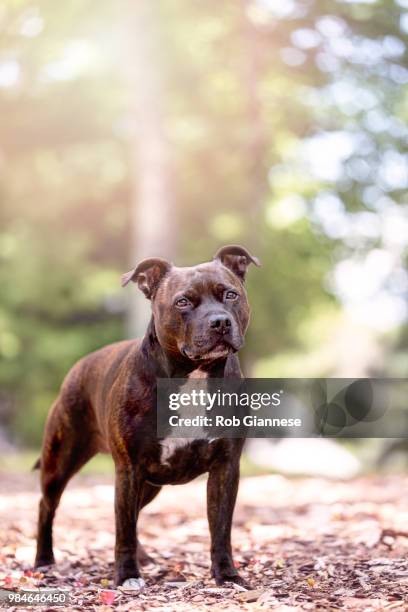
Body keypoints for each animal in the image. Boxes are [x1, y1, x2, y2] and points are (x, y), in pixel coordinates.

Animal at [34, 243, 258, 588]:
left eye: (230, 295)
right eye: (183, 302)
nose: (220, 322)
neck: (194, 375)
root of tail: (80, 365)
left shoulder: (226, 467)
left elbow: (220, 529)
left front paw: (227, 575)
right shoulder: (129, 468)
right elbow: (123, 529)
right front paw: (127, 576)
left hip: (149, 484)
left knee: (134, 512)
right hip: (60, 461)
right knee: (48, 506)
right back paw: (44, 561)